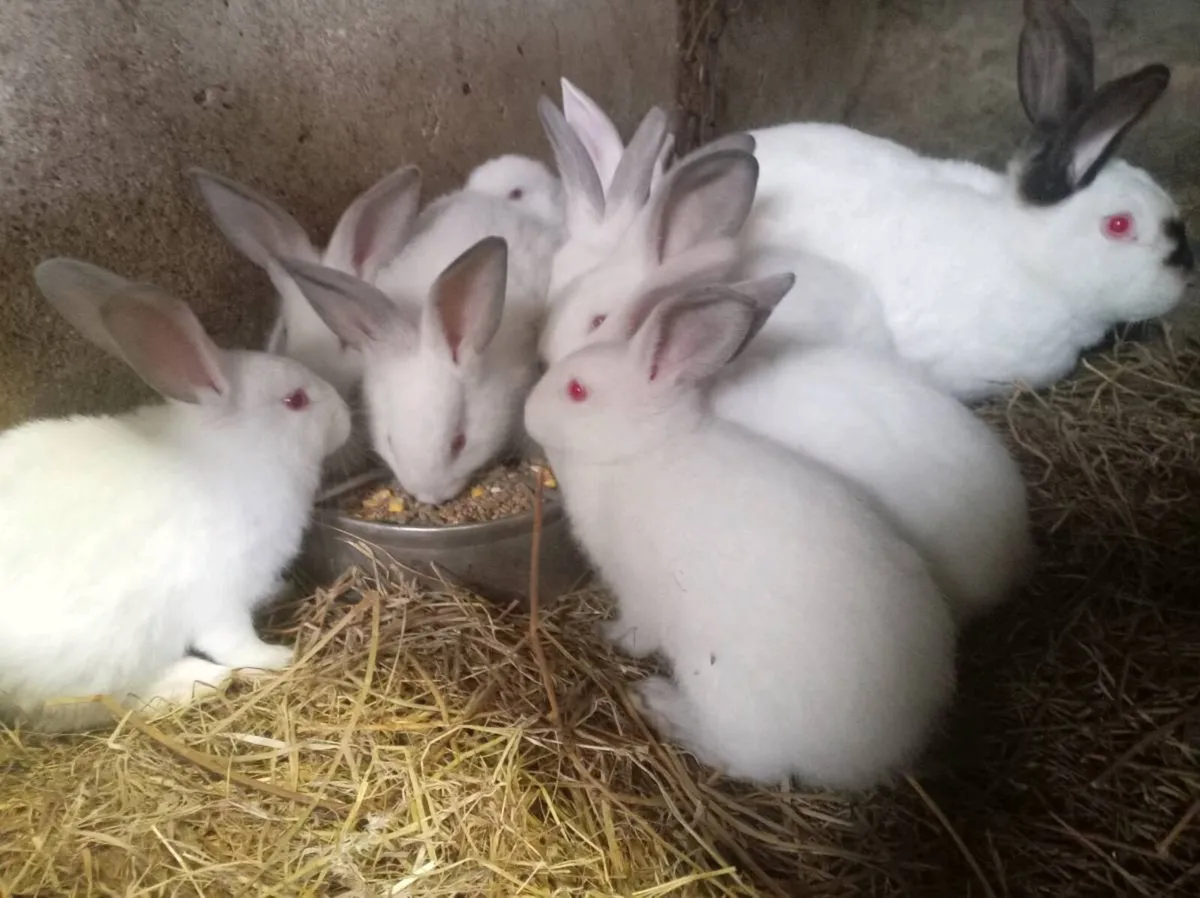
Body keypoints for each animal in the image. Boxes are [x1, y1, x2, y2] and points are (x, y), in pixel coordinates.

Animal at [0, 259, 351, 732]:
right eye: (295, 400)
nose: (346, 418)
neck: (234, 456)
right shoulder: (217, 596)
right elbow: (236, 642)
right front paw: (278, 658)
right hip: (100, 654)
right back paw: (202, 681)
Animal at [524, 284, 956, 788]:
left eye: (577, 391)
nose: (527, 411)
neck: (640, 449)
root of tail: (880, 751)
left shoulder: (637, 591)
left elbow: (637, 630)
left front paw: (609, 636)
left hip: (720, 688)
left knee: (745, 760)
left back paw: (658, 703)